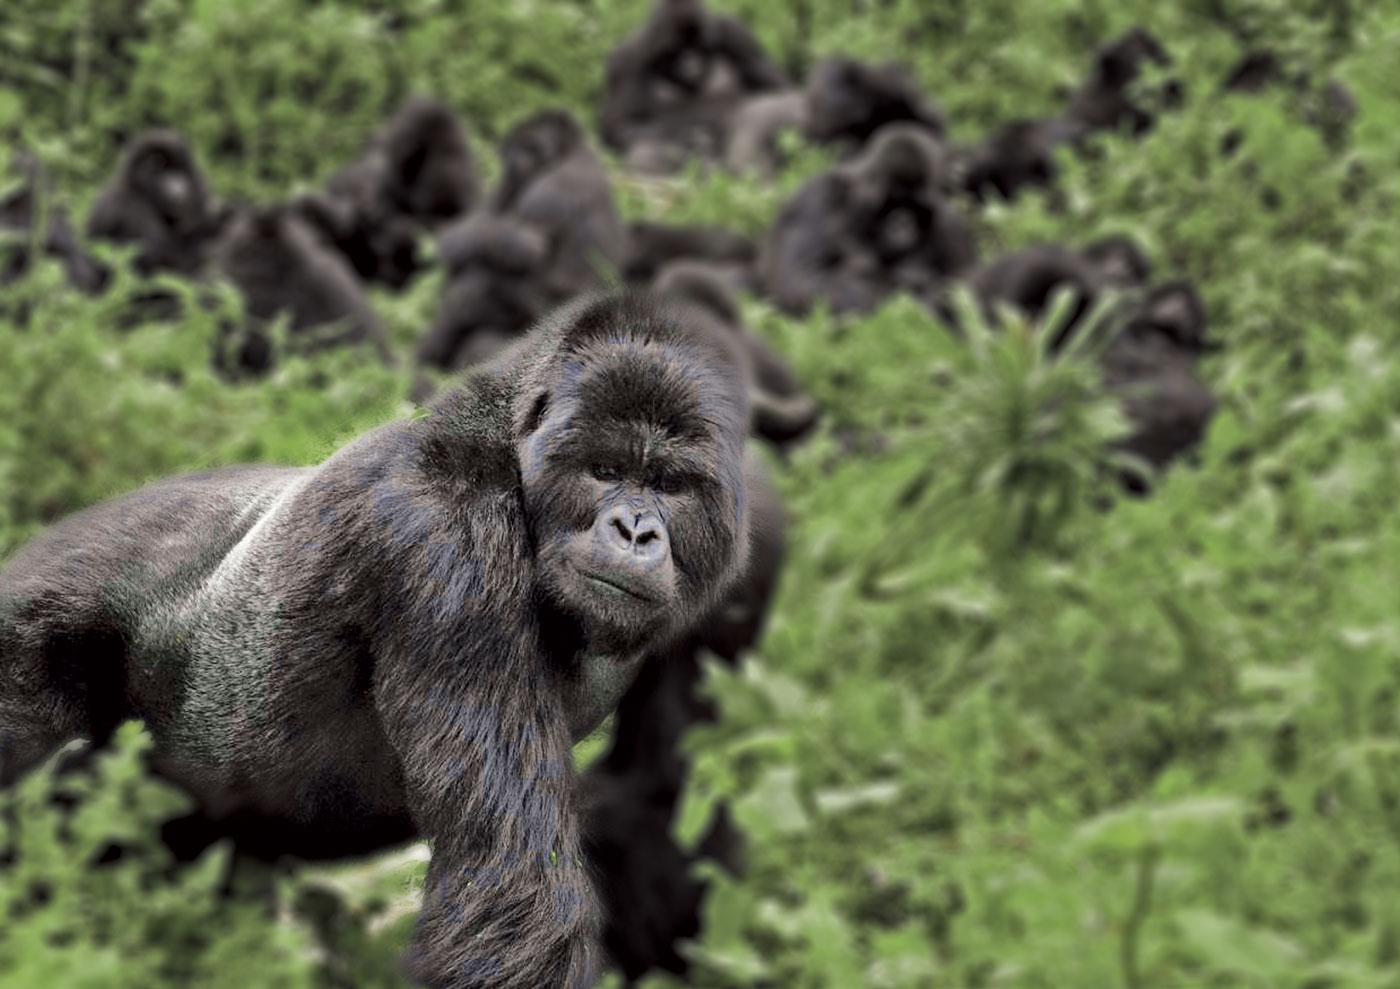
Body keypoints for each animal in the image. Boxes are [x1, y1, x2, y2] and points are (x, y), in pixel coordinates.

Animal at [600, 0, 787, 174]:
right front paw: (689, 141)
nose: (691, 62)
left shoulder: (734, 33)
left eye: (698, 46)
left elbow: (775, 89)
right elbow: (621, 127)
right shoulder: (629, 57)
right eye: (679, 49)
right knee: (644, 152)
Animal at [759, 122, 976, 317]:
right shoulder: (818, 198)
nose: (904, 223)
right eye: (893, 202)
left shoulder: (952, 227)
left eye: (916, 206)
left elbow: (965, 284)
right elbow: (801, 277)